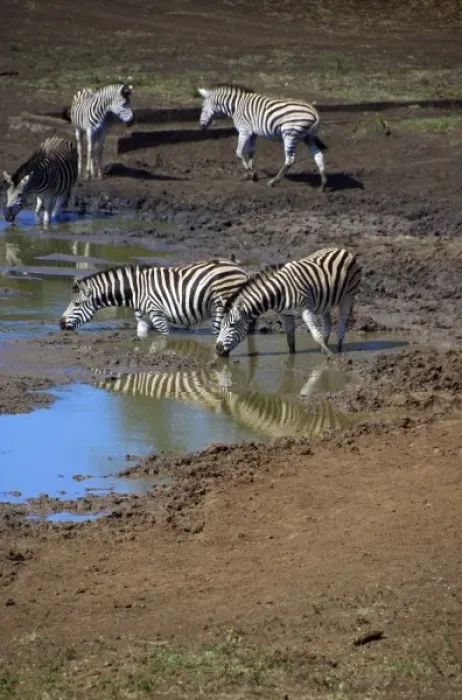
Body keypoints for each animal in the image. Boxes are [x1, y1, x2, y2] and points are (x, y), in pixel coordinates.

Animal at [59, 258, 251, 335]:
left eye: (76, 304)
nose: (60, 324)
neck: (135, 290)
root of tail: (239, 268)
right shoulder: (142, 318)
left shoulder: (157, 314)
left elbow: (164, 336)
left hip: (222, 305)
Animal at [197, 84, 327, 188]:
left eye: (202, 107)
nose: (201, 127)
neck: (236, 106)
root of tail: (313, 110)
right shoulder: (253, 133)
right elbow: (251, 152)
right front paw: (251, 174)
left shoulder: (244, 131)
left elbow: (239, 152)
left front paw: (250, 173)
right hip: (308, 137)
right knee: (318, 155)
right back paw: (323, 184)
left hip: (290, 134)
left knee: (290, 160)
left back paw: (273, 181)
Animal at [215, 248, 361, 357]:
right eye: (221, 325)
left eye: (232, 325)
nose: (217, 349)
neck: (279, 292)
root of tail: (342, 249)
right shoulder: (285, 314)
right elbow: (290, 340)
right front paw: (291, 359)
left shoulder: (306, 309)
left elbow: (316, 335)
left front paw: (331, 356)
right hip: (325, 302)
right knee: (328, 323)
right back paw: (324, 346)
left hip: (348, 295)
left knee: (342, 323)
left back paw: (338, 349)